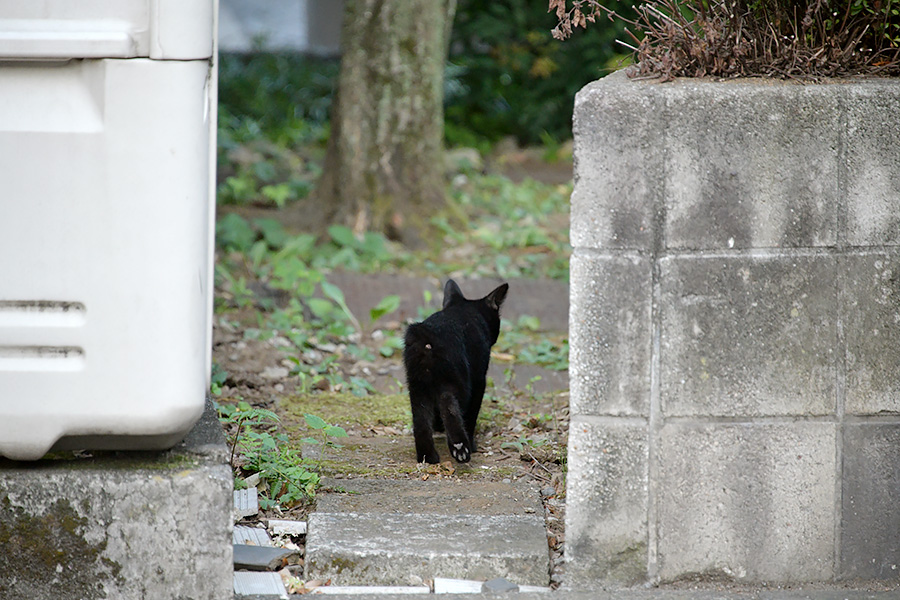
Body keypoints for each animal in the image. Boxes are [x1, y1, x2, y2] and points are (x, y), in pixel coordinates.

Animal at [400, 280, 506, 464]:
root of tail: (425, 335)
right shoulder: (479, 380)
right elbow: (471, 414)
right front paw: (471, 443)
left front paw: (437, 426)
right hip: (458, 382)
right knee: (449, 407)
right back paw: (460, 448)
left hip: (418, 386)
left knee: (420, 420)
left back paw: (428, 456)